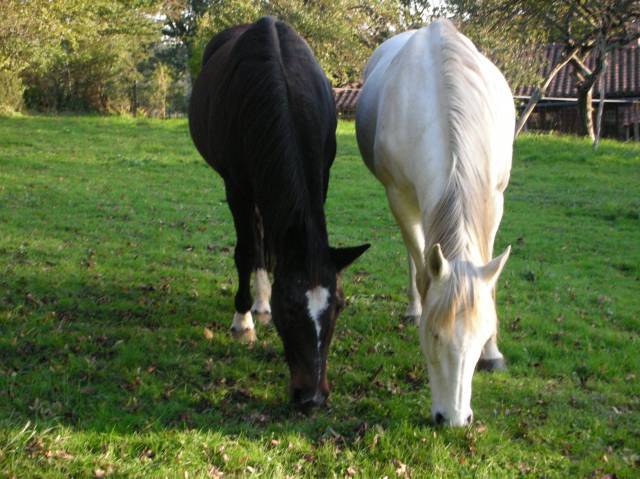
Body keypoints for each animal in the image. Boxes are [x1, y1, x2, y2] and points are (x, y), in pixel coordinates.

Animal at [188, 17, 369, 411]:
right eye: (288, 307)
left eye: (339, 306)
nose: (312, 397)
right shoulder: (237, 185)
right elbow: (245, 251)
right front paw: (243, 321)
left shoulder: (322, 173)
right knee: (256, 240)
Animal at [355, 19, 514, 426]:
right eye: (435, 336)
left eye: (481, 335)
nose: (454, 420)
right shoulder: (398, 195)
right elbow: (419, 262)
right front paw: (419, 309)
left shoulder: (494, 199)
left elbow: (488, 277)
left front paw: (494, 354)